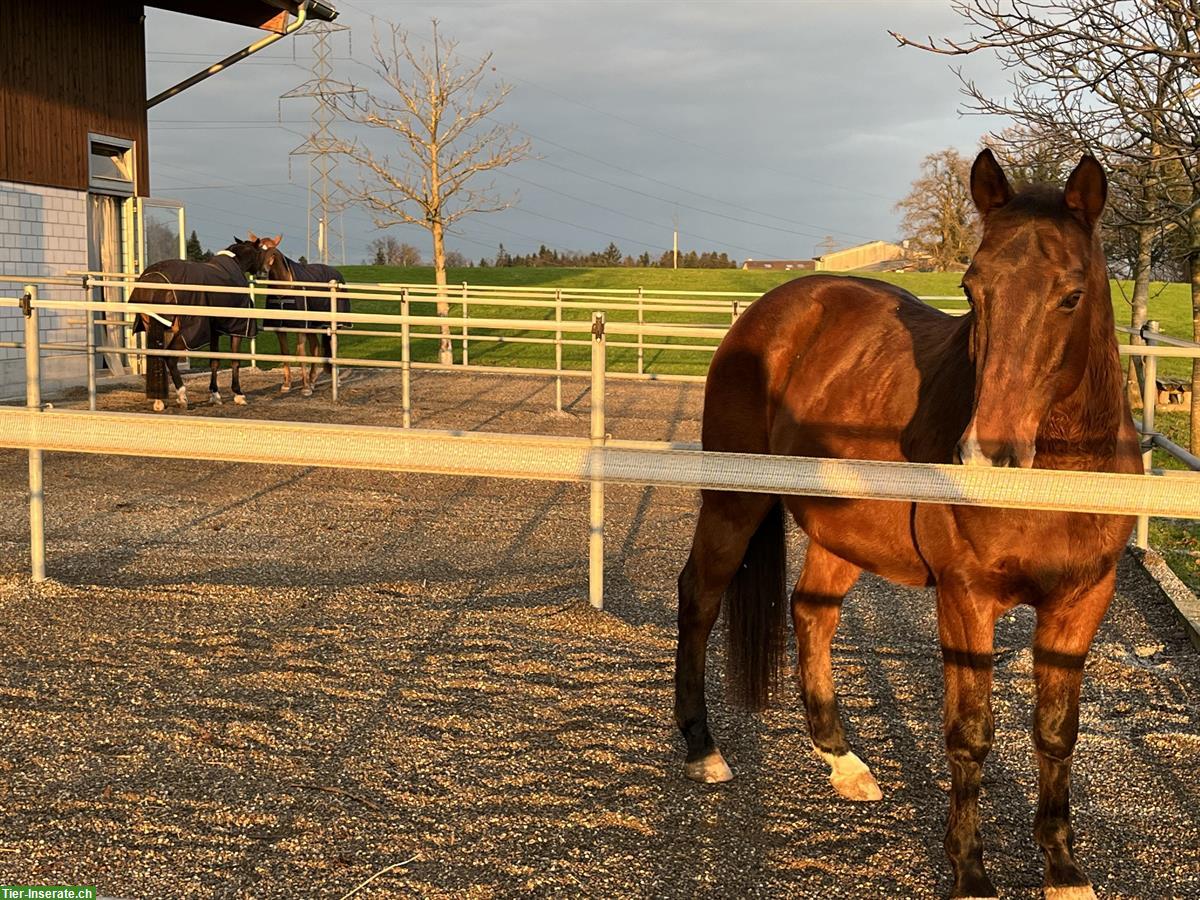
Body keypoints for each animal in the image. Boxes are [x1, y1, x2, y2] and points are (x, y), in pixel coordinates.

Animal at [134, 236, 272, 412]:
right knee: (170, 358)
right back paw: (182, 397)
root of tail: (155, 282)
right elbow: (235, 360)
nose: (265, 271)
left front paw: (215, 395)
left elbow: (214, 361)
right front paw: (238, 394)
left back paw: (159, 401)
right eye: (260, 251)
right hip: (184, 333)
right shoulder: (236, 328)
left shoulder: (214, 330)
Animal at [255, 237, 345, 396]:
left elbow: (301, 353)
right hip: (313, 326)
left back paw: (335, 381)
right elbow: (285, 353)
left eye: (273, 252)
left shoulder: (300, 328)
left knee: (332, 346)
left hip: (331, 325)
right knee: (315, 347)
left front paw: (305, 388)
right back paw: (313, 380)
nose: (261, 273)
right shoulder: (280, 329)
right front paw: (287, 385)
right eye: (258, 250)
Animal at [681, 151, 1137, 897]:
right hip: (733, 504)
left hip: (841, 533)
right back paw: (702, 749)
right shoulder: (965, 598)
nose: (987, 456)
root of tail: (775, 309)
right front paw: (971, 874)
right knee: (699, 598)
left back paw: (843, 762)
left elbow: (1055, 731)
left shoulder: (1081, 601)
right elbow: (970, 733)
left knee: (812, 614)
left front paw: (1064, 870)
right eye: (972, 289)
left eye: (1071, 296)